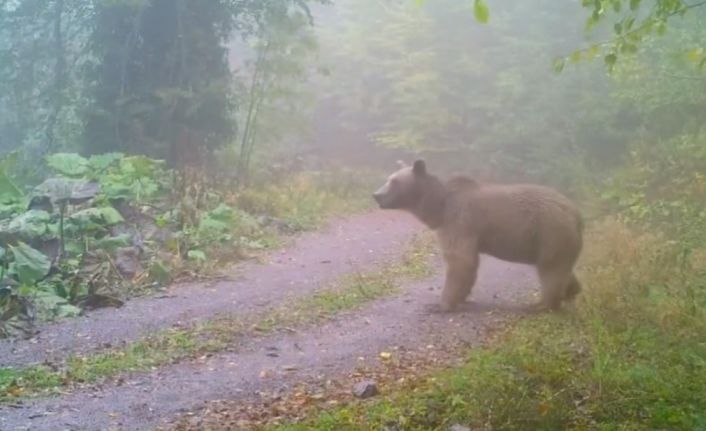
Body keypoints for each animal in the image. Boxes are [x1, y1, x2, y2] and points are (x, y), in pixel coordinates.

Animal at [374, 160, 584, 312]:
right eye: (388, 178)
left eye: (394, 181)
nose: (376, 195)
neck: (439, 207)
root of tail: (576, 213)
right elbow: (468, 264)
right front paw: (462, 298)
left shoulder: (459, 221)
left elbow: (460, 260)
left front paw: (439, 305)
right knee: (562, 268)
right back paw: (572, 292)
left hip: (550, 231)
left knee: (551, 269)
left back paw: (542, 304)